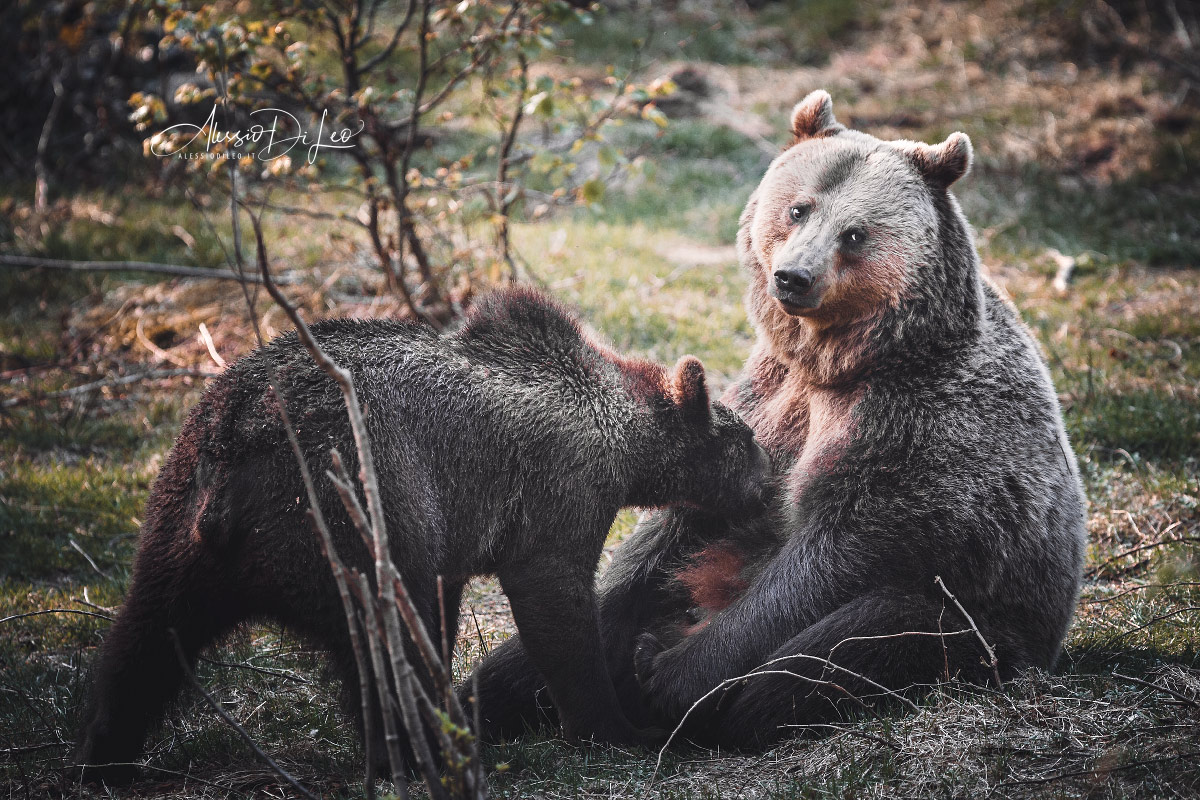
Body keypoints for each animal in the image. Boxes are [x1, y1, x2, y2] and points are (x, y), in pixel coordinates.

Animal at [75, 286, 768, 782]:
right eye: (746, 441)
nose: (769, 481)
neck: (624, 439)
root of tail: (233, 448)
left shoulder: (456, 532)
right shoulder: (558, 492)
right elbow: (557, 609)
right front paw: (618, 728)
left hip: (177, 517)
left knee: (146, 638)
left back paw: (106, 753)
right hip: (349, 512)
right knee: (384, 647)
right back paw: (423, 753)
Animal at [463, 90, 1094, 748]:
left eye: (854, 232)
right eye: (798, 207)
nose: (792, 276)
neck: (838, 362)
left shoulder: (916, 426)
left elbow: (832, 557)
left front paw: (674, 673)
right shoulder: (771, 393)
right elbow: (682, 521)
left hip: (983, 628)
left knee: (840, 650)